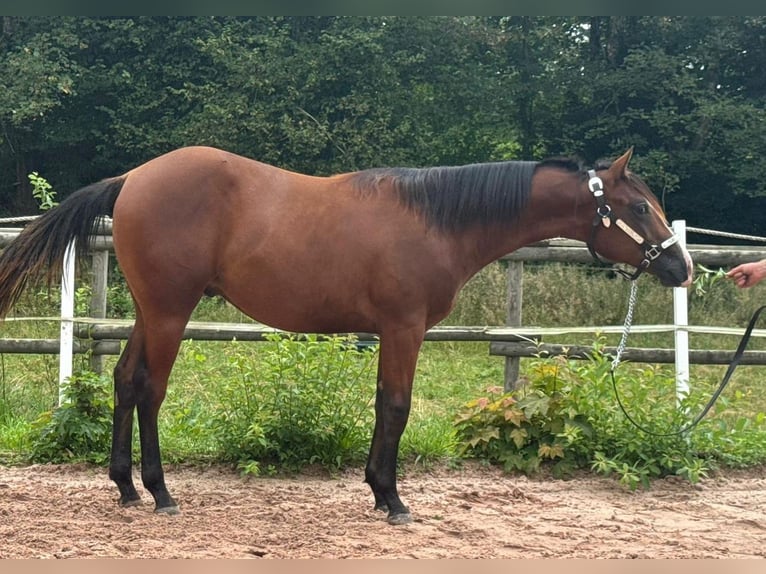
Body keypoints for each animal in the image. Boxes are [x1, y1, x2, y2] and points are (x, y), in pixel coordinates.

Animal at [0, 145, 696, 528]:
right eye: (639, 207)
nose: (681, 267)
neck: (438, 220)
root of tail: (134, 179)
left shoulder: (391, 332)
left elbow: (387, 406)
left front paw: (379, 491)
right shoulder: (403, 329)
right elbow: (396, 406)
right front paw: (391, 497)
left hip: (151, 311)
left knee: (123, 382)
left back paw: (122, 487)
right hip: (171, 312)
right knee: (149, 390)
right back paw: (159, 492)